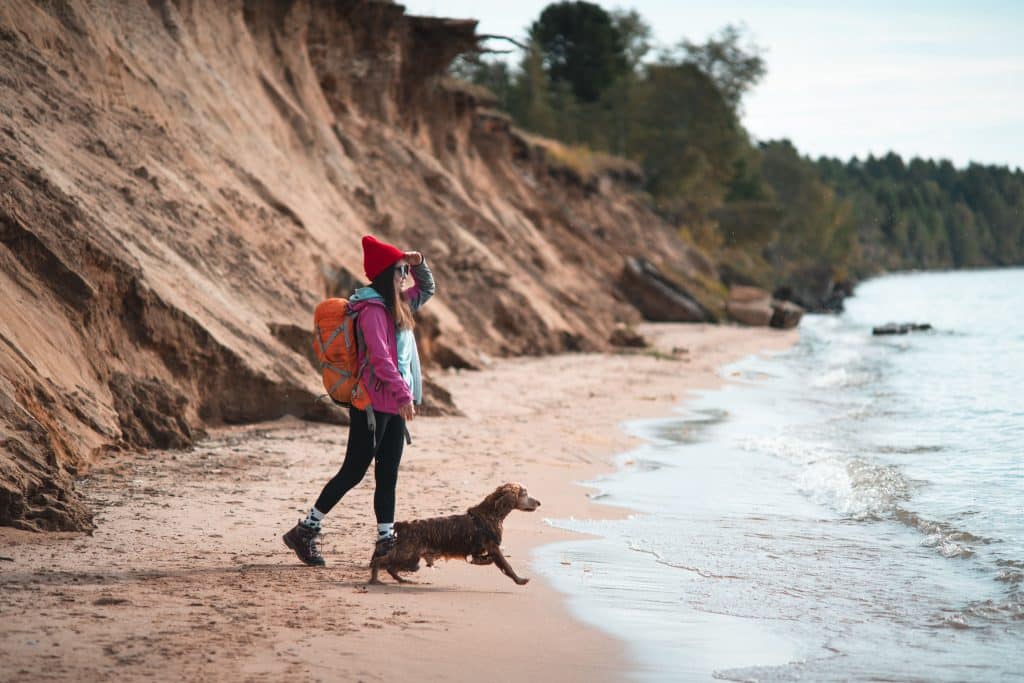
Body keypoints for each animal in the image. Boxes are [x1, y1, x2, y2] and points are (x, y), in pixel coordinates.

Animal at [370, 481, 544, 589]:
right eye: (525, 493)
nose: (539, 502)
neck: (491, 513)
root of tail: (403, 525)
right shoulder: (493, 547)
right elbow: (507, 566)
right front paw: (520, 580)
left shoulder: (481, 550)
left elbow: (484, 560)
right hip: (407, 554)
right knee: (380, 561)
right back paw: (374, 579)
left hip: (412, 560)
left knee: (391, 567)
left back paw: (402, 580)